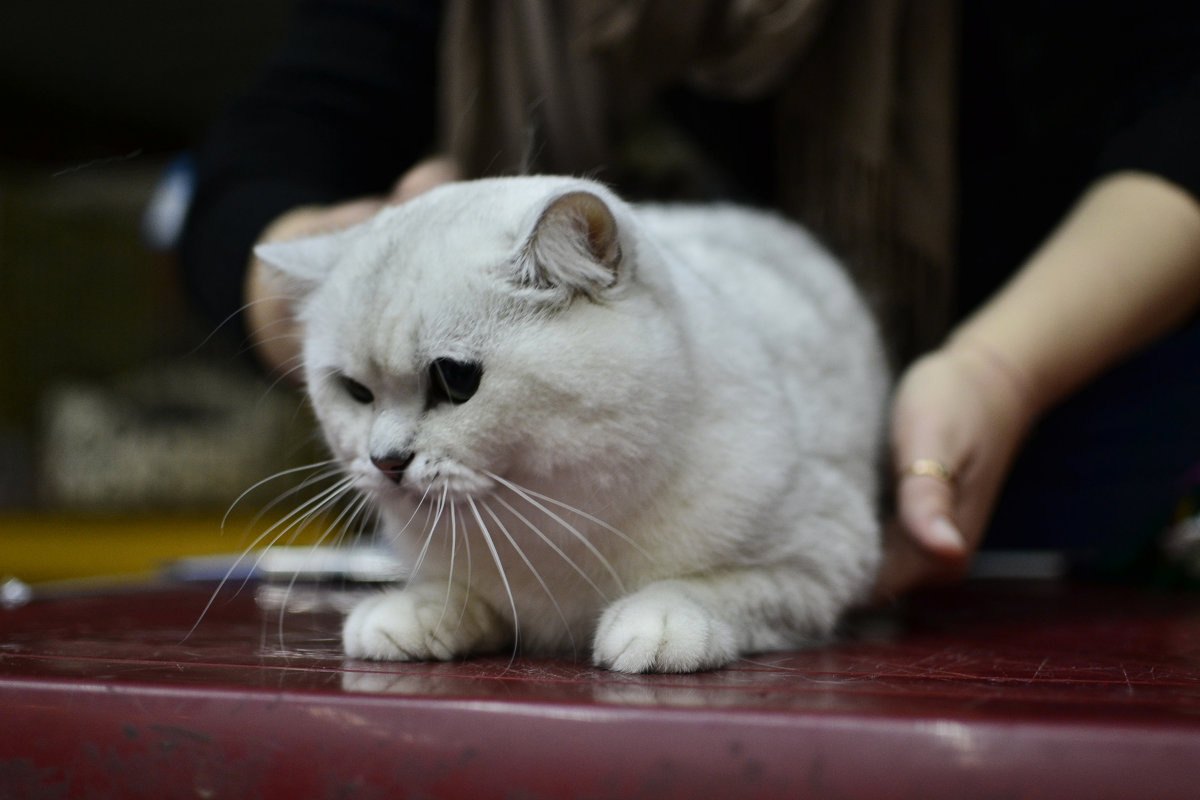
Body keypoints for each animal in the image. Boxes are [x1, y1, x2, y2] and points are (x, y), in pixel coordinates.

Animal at [255, 178, 892, 671]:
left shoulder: (818, 563)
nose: (385, 461)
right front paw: (410, 613)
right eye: (356, 392)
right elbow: (460, 593)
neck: (552, 520)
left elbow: (718, 587)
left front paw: (658, 624)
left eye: (455, 381)